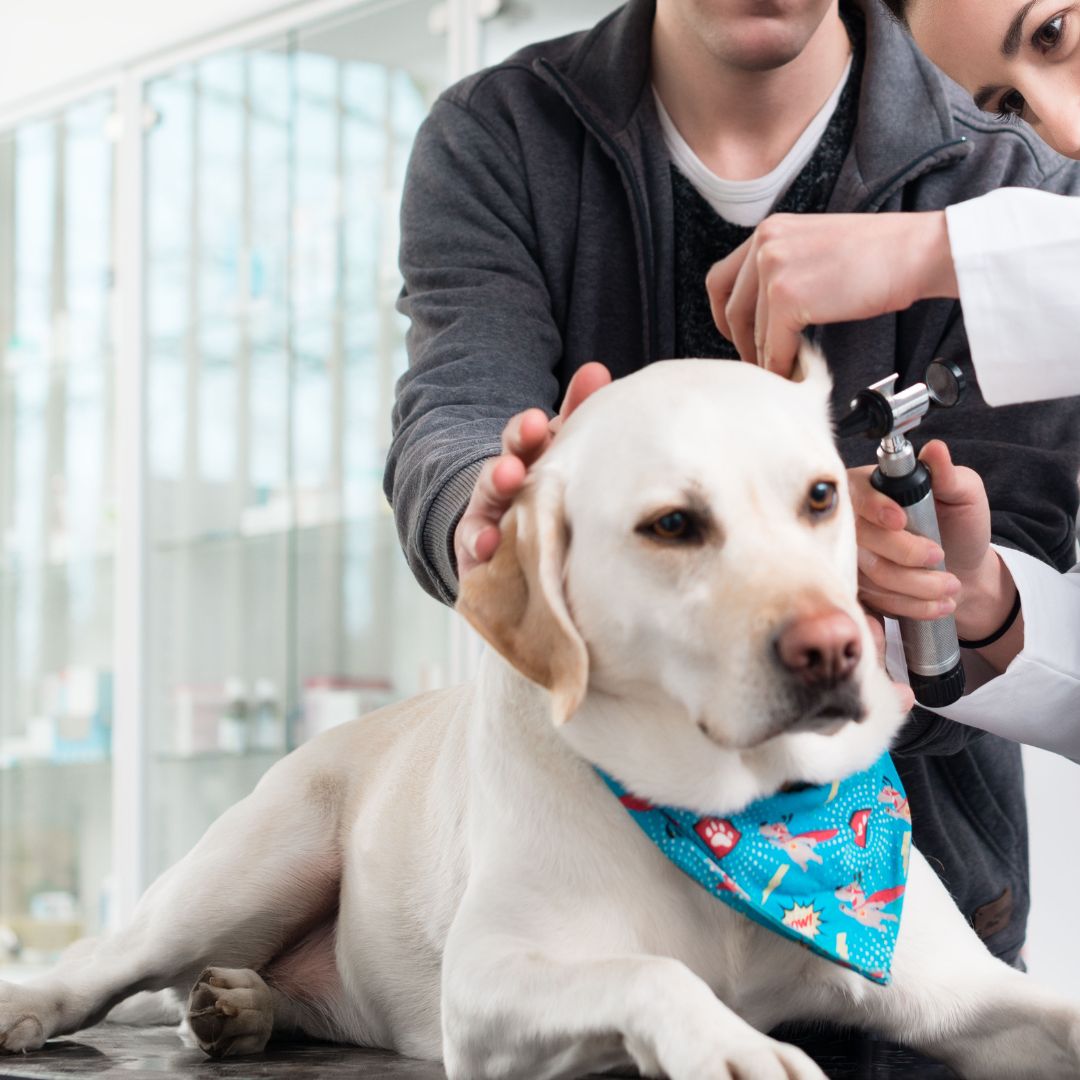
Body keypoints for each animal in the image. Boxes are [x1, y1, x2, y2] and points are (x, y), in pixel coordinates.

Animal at [2, 354, 1080, 1080]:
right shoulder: (489, 985)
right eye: (673, 525)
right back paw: (41, 1001)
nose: (831, 648)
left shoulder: (959, 990)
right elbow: (650, 972)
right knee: (109, 964)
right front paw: (735, 1045)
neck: (738, 820)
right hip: (248, 869)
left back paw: (243, 1005)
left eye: (821, 496)